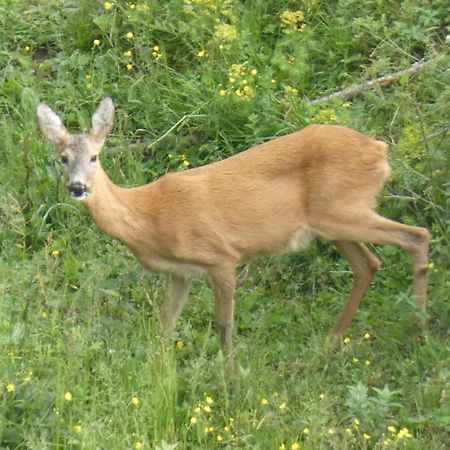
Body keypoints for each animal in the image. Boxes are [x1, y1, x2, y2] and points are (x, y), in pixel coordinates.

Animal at [37, 98, 430, 356]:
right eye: (63, 158)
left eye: (94, 157)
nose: (77, 187)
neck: (149, 217)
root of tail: (379, 150)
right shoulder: (179, 272)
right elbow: (166, 323)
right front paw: (159, 371)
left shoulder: (221, 256)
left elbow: (224, 324)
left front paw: (230, 377)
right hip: (333, 224)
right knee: (369, 263)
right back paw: (332, 342)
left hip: (341, 211)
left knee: (416, 235)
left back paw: (417, 331)